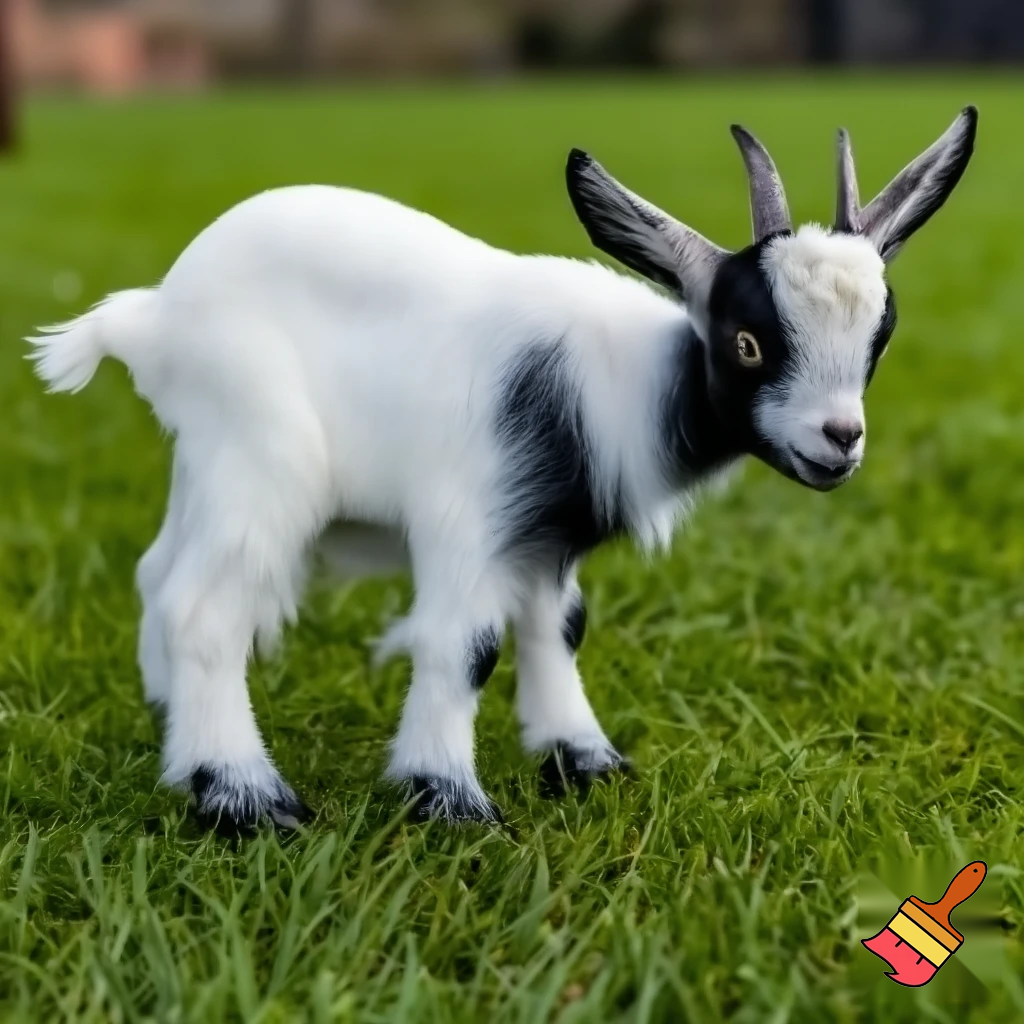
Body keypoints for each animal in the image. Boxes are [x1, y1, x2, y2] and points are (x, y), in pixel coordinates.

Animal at [30, 108, 977, 830]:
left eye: (880, 336)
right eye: (747, 342)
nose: (839, 440)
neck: (624, 383)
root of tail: (153, 317)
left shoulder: (544, 538)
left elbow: (557, 629)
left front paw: (584, 758)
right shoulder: (473, 520)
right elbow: (466, 645)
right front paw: (450, 802)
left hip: (207, 465)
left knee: (158, 576)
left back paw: (174, 738)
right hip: (263, 453)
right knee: (203, 609)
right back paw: (244, 797)